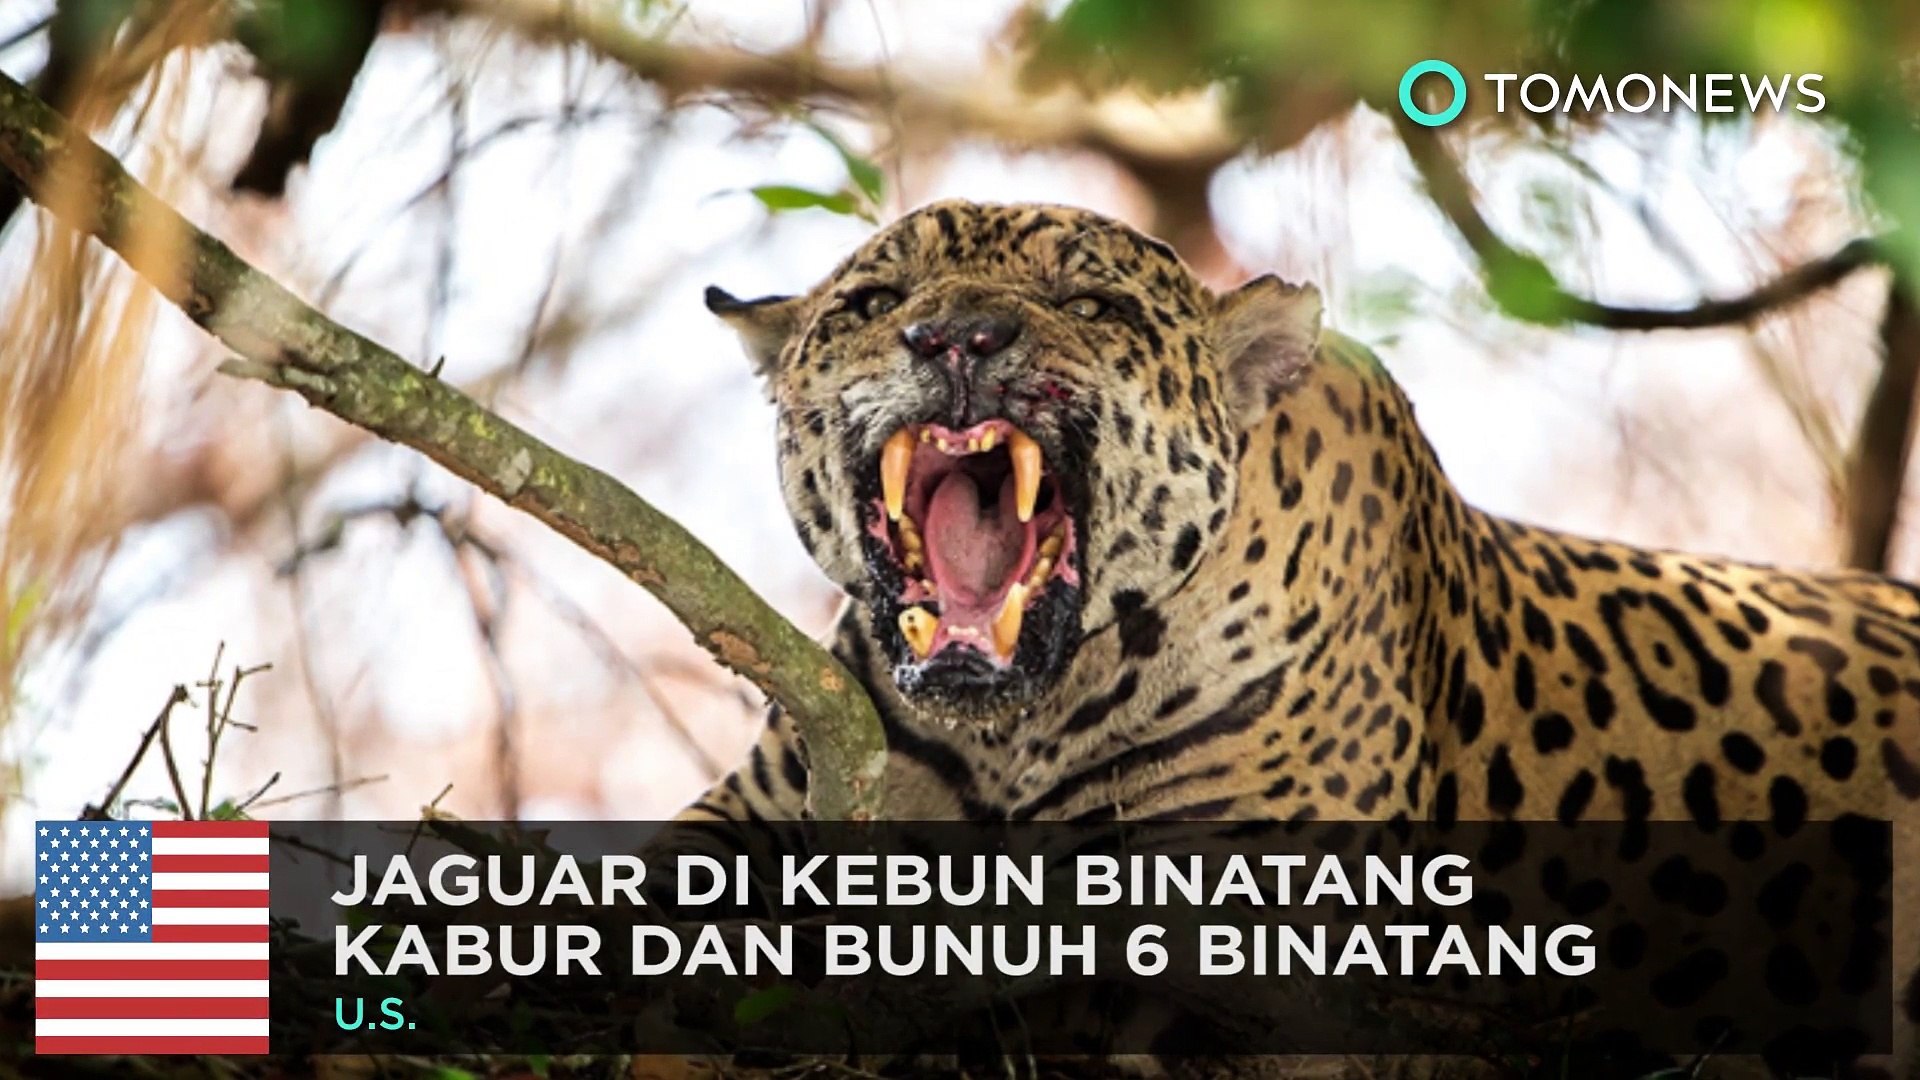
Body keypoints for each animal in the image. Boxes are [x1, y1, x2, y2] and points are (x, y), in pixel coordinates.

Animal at [681, 199, 1920, 1075]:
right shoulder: (757, 809)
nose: (954, 339)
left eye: (1092, 306)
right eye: (874, 300)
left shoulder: (1252, 935)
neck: (1015, 731)